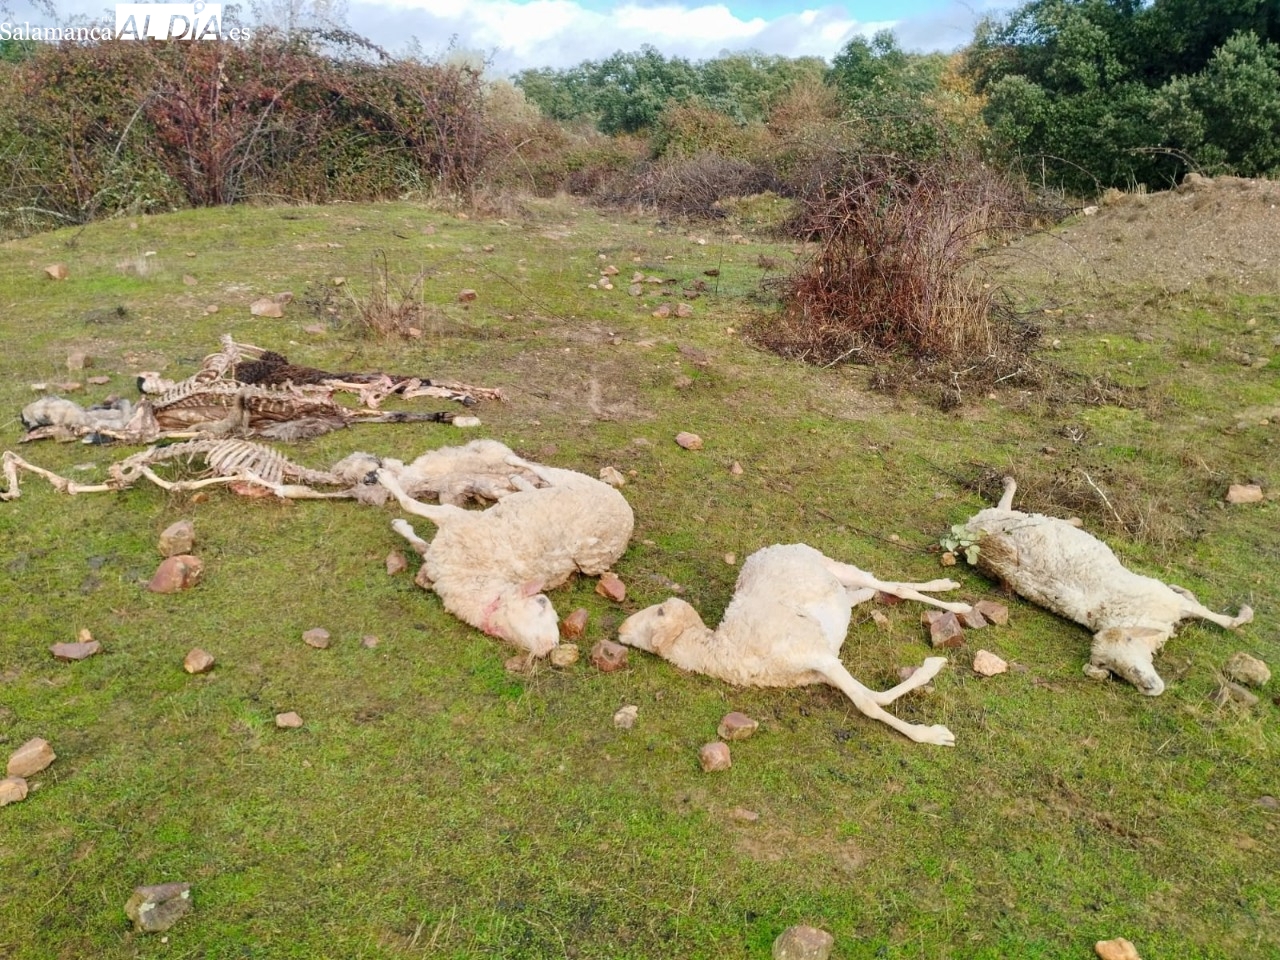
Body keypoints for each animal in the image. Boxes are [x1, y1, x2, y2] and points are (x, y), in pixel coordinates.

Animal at [377, 442, 634, 657]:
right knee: (540, 471)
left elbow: (410, 509)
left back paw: (515, 475)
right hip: (573, 484)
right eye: (542, 603)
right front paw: (395, 508)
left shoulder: (454, 525)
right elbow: (413, 521)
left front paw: (394, 506)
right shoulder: (453, 525)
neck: (475, 575)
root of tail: (627, 515)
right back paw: (514, 470)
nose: (550, 647)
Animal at [616, 543, 966, 746]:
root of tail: (773, 547)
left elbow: (867, 703)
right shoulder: (817, 670)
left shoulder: (818, 656)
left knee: (886, 584)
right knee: (866, 591)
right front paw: (931, 674)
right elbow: (874, 697)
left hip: (830, 564)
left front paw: (934, 734)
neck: (726, 651)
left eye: (660, 612)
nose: (620, 629)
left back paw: (957, 601)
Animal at [958, 476, 1254, 695]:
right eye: (1112, 669)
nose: (1149, 688)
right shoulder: (1166, 602)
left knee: (1014, 510)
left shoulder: (1167, 600)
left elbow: (1211, 613)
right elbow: (1222, 619)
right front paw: (1243, 613)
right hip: (1002, 520)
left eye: (1130, 641)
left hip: (1011, 520)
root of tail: (969, 535)